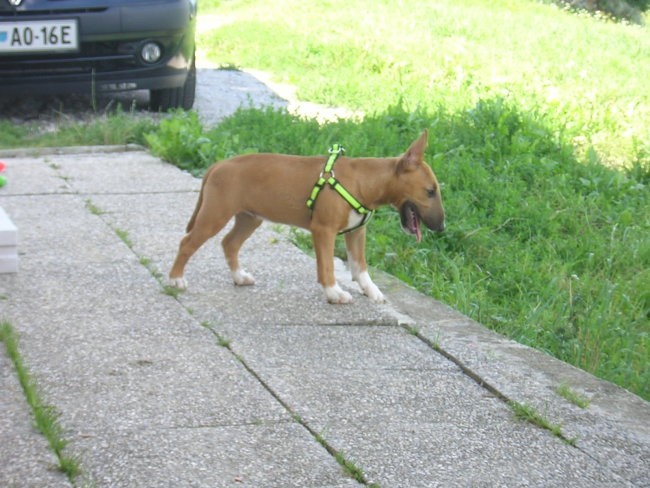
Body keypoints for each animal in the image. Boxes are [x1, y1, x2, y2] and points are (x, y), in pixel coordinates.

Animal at [166, 132, 446, 304]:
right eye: (430, 191)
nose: (442, 227)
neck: (363, 181)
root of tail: (218, 165)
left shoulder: (357, 233)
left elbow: (360, 266)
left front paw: (372, 291)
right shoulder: (323, 230)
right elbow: (327, 266)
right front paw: (334, 293)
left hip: (249, 217)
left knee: (229, 243)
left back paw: (239, 277)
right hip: (215, 214)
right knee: (187, 242)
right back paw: (176, 278)